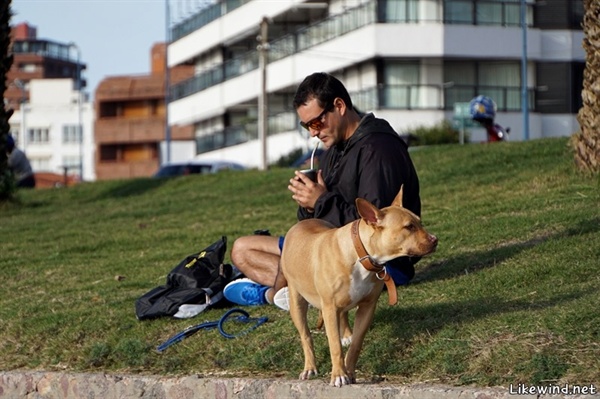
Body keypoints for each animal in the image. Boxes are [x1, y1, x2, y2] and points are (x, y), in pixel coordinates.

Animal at [278, 188, 438, 388]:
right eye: (409, 227)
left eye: (419, 222)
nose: (435, 240)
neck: (361, 255)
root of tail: (302, 223)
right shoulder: (329, 308)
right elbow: (334, 346)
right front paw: (339, 374)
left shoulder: (367, 307)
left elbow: (356, 344)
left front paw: (350, 371)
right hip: (297, 301)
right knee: (306, 335)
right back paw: (309, 367)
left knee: (343, 315)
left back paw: (346, 334)